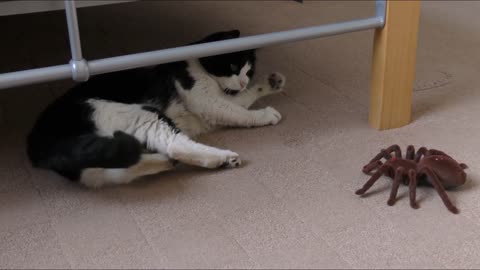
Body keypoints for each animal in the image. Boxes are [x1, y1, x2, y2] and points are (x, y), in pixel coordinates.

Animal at [26, 29, 286, 186]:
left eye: (249, 71)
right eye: (232, 66)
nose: (242, 82)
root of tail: (39, 141)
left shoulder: (221, 98)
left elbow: (242, 99)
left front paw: (271, 83)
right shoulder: (205, 100)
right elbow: (238, 113)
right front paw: (265, 114)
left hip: (95, 165)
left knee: (120, 170)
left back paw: (163, 161)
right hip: (137, 114)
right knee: (176, 145)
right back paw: (221, 158)